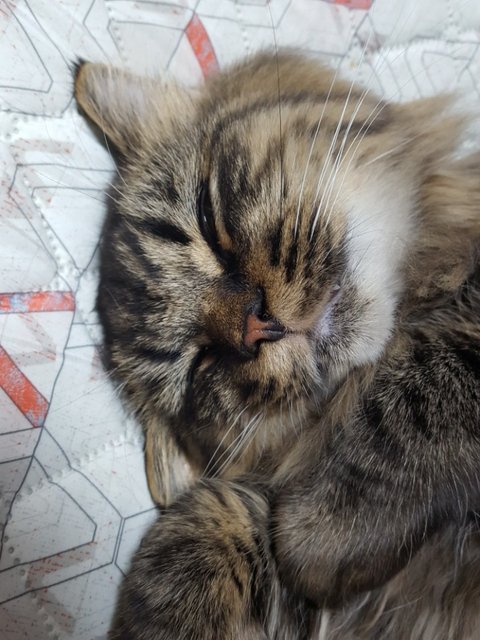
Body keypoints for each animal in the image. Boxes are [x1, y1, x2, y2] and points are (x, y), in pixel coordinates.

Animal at [74, 50, 480, 638]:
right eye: (199, 367)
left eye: (207, 220)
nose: (255, 325)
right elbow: (204, 524)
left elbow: (416, 397)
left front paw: (324, 530)